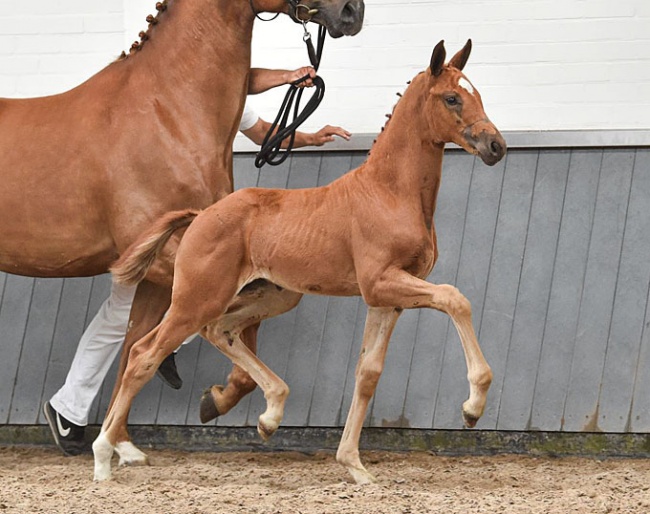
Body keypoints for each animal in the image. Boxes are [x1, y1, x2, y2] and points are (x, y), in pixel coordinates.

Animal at [96, 39, 504, 480]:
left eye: (478, 94)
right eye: (452, 98)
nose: (496, 147)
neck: (389, 192)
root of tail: (200, 215)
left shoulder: (387, 299)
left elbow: (368, 373)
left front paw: (354, 465)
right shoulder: (381, 281)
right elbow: (455, 298)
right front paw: (472, 408)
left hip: (274, 295)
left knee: (218, 330)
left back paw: (267, 415)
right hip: (197, 298)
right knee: (144, 354)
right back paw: (104, 457)